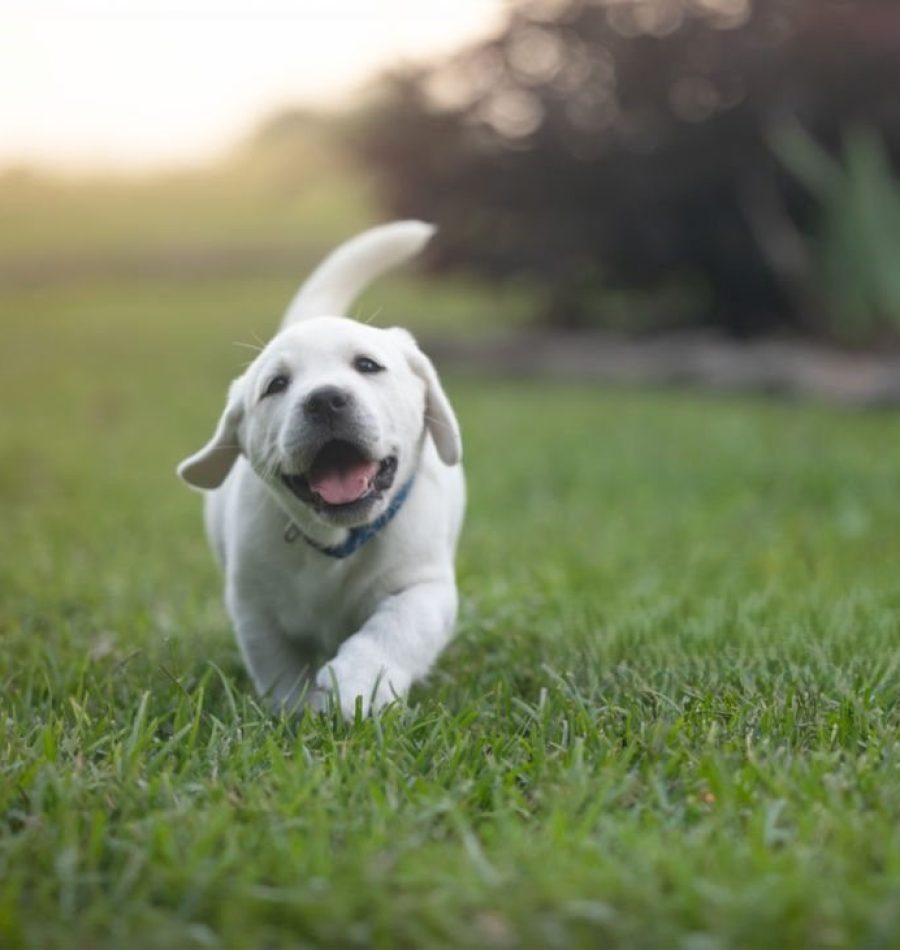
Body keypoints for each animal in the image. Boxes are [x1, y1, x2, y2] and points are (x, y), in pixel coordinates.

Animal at [180, 223, 468, 716]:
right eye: (276, 385)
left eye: (367, 365)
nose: (325, 399)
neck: (337, 543)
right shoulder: (254, 609)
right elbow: (279, 670)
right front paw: (298, 712)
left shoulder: (424, 587)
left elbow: (395, 629)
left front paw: (359, 684)